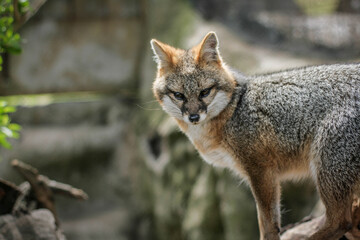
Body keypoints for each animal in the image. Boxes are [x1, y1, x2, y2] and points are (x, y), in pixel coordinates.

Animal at [150, 32, 360, 240]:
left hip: (324, 170)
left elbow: (267, 222)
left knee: (341, 221)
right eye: (179, 95)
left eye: (204, 92)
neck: (234, 108)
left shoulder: (261, 170)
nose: (194, 117)